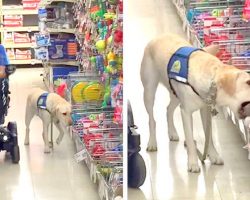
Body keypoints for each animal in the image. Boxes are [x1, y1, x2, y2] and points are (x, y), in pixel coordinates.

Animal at [141, 33, 250, 173]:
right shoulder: (186, 112)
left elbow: (209, 138)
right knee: (151, 119)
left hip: (175, 94)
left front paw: (213, 155)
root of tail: (159, 36)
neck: (211, 80)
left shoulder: (205, 110)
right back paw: (152, 142)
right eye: (248, 82)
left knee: (169, 109)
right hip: (149, 91)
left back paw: (172, 132)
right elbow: (190, 140)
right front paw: (193, 163)